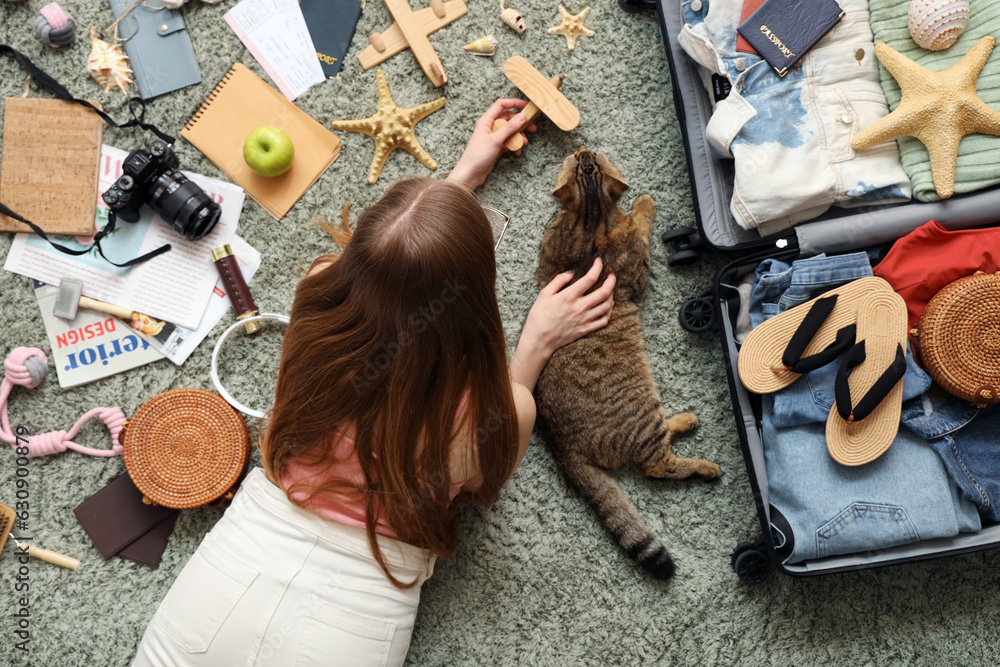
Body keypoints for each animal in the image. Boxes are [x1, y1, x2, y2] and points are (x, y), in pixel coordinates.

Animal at [536, 147, 724, 580]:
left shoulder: (550, 249)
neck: (589, 219)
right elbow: (639, 223)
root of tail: (561, 444)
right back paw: (704, 464)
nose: (582, 149)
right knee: (658, 465)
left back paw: (684, 420)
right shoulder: (635, 263)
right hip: (642, 415)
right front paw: (644, 203)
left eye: (583, 156)